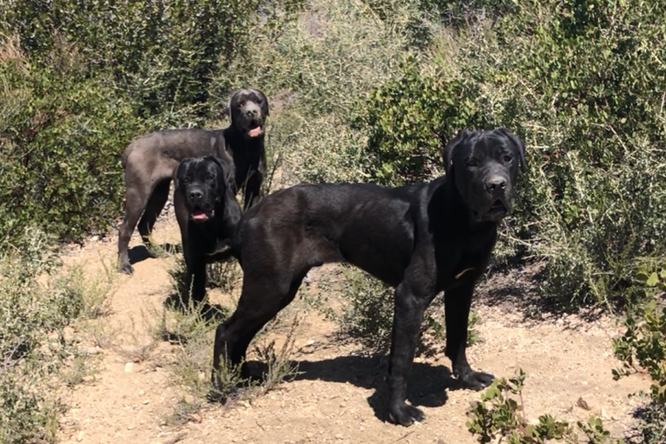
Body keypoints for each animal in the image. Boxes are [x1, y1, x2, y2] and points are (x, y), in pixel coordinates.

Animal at [116, 88, 268, 274]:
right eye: (239, 104)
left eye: (258, 101)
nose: (251, 112)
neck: (246, 146)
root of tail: (133, 146)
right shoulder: (229, 188)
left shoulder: (254, 186)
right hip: (139, 192)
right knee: (125, 229)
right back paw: (124, 265)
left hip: (159, 192)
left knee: (145, 224)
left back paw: (157, 252)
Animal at [174, 156, 241, 306]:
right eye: (186, 179)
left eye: (209, 177)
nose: (195, 194)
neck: (213, 224)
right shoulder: (196, 262)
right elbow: (198, 291)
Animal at [211, 128, 524, 426]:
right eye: (471, 163)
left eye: (506, 158)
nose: (496, 185)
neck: (464, 220)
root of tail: (249, 216)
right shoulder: (410, 296)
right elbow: (402, 360)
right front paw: (399, 412)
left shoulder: (462, 288)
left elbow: (458, 338)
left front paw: (468, 378)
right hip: (270, 287)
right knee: (225, 331)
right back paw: (222, 388)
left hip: (276, 290)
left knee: (241, 334)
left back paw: (242, 378)